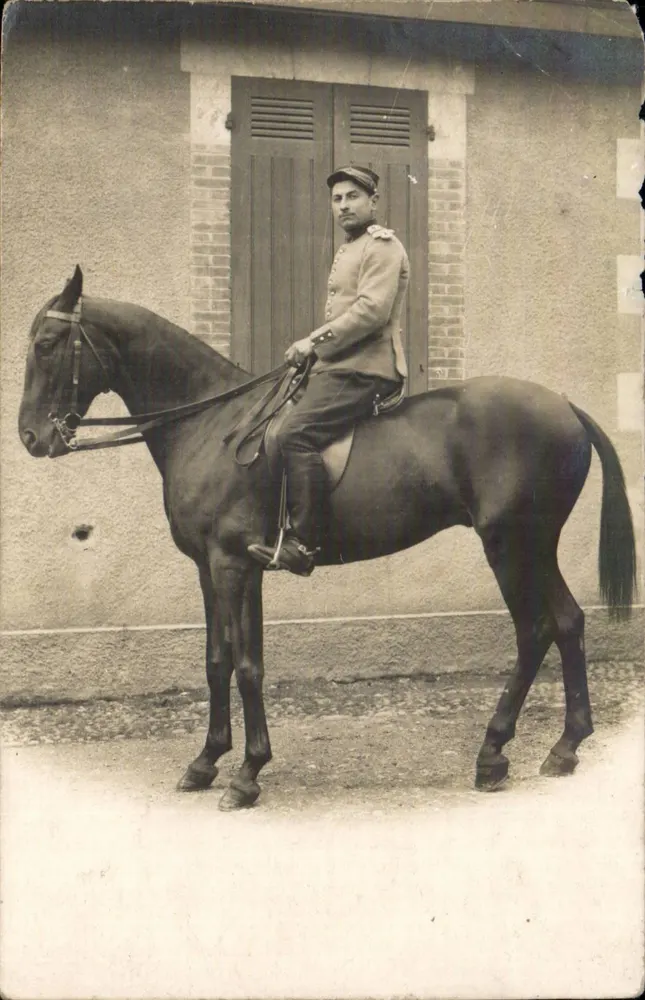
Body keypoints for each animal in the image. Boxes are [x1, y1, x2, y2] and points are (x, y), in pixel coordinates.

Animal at [18, 266, 636, 810]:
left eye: (48, 343)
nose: (30, 437)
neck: (214, 427)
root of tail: (565, 406)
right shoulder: (213, 569)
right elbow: (219, 661)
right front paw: (206, 761)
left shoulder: (233, 566)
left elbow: (246, 665)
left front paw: (246, 774)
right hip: (535, 547)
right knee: (566, 623)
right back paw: (564, 747)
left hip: (511, 546)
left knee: (534, 631)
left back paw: (493, 752)